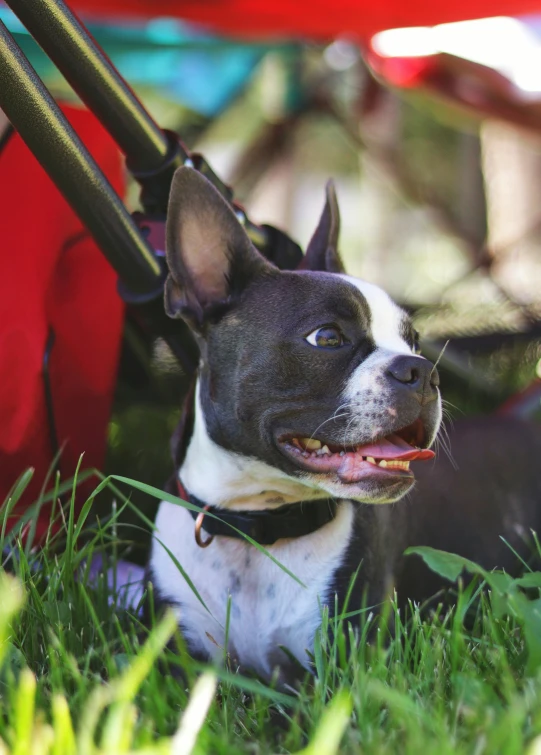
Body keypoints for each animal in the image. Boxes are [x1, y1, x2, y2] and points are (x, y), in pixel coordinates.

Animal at [147, 167, 540, 684]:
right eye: (327, 337)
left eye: (415, 341)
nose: (423, 371)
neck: (259, 530)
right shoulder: (179, 662)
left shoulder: (334, 667)